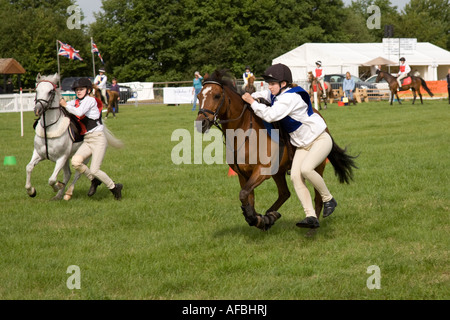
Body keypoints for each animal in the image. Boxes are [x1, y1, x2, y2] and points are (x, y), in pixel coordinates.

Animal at [195, 69, 356, 230]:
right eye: (198, 96)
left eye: (216, 96)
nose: (200, 124)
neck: (244, 133)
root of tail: (319, 116)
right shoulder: (243, 175)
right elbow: (247, 198)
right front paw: (259, 219)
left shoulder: (261, 171)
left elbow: (244, 194)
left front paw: (257, 218)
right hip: (279, 172)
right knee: (285, 193)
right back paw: (271, 215)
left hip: (317, 165)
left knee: (317, 197)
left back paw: (314, 221)